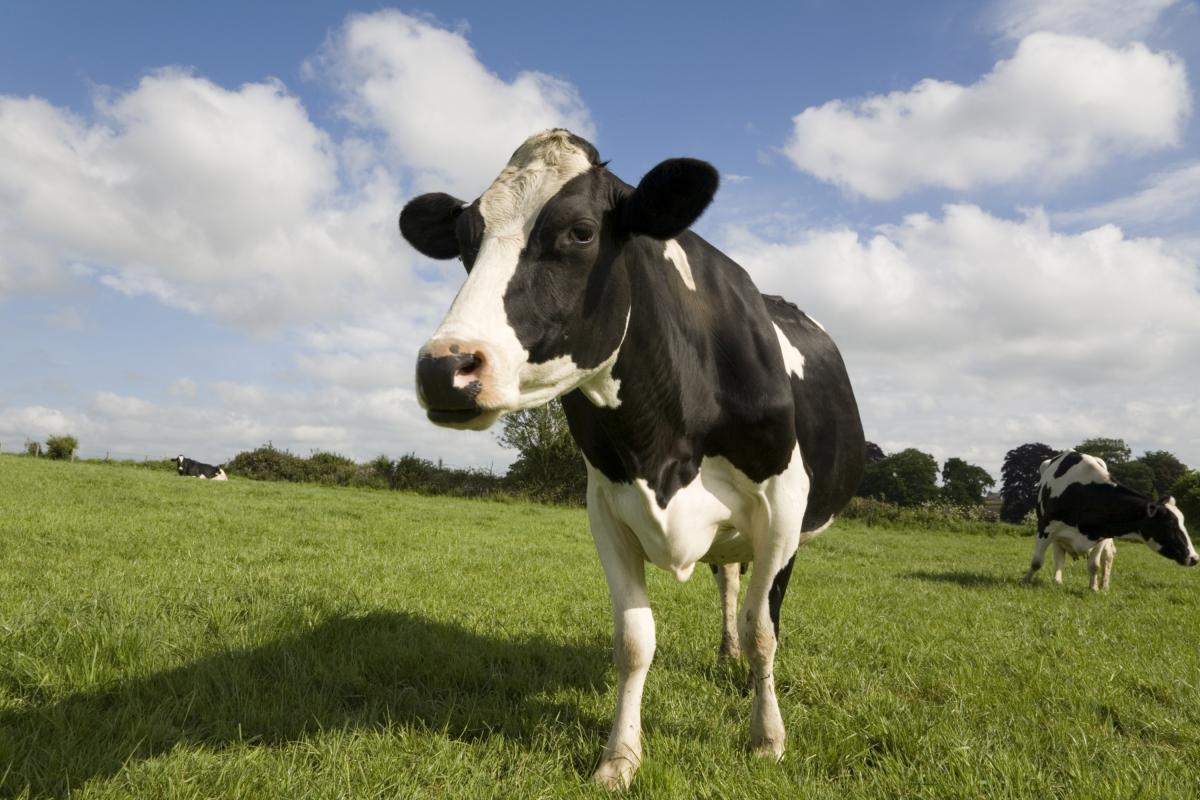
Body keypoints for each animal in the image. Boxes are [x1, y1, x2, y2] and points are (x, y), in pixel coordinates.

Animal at [399, 129, 865, 789]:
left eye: (581, 232)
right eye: (466, 241)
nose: (445, 368)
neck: (663, 444)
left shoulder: (782, 506)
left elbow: (764, 630)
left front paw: (767, 739)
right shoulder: (606, 506)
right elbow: (634, 638)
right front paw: (619, 758)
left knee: (756, 603)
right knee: (727, 577)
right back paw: (724, 655)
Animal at [1024, 450, 1196, 590]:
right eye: (1170, 525)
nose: (1195, 558)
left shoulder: (1101, 535)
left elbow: (1094, 565)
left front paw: (1093, 588)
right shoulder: (1046, 528)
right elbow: (1037, 561)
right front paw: (1026, 580)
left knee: (1108, 558)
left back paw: (1104, 585)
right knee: (1059, 554)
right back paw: (1057, 580)